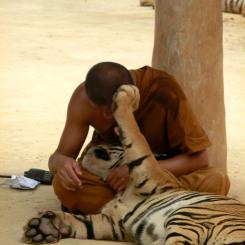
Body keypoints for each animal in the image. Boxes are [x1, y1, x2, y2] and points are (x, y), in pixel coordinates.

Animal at [23, 84, 245, 245]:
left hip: (192, 216)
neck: (122, 190)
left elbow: (135, 133)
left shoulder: (149, 167)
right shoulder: (113, 223)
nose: (91, 145)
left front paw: (127, 94)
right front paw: (43, 227)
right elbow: (80, 221)